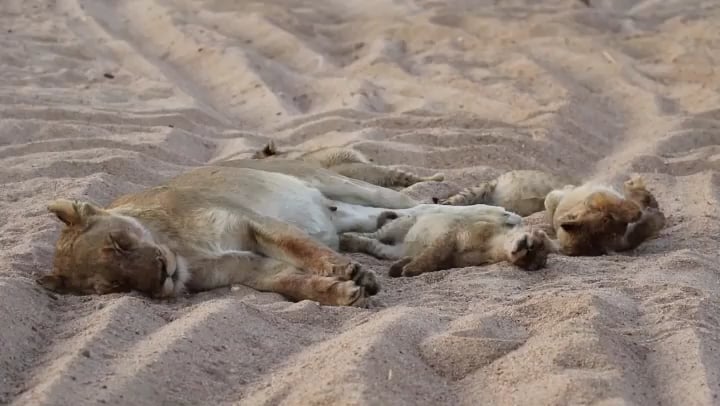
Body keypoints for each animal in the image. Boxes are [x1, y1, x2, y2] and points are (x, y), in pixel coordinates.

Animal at [38, 159, 520, 307]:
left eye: (120, 243)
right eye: (112, 287)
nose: (160, 276)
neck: (183, 252)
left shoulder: (254, 224)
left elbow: (301, 247)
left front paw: (348, 272)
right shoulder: (249, 269)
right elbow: (293, 282)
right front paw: (343, 292)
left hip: (334, 182)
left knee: (418, 202)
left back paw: (500, 212)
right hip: (354, 214)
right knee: (392, 218)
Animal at [339, 209, 554, 278]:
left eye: (532, 264)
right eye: (533, 246)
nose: (526, 252)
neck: (495, 247)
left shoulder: (453, 259)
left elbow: (433, 260)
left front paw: (402, 269)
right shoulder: (453, 234)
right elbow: (434, 252)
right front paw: (409, 270)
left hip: (391, 250)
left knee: (373, 244)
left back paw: (350, 242)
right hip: (400, 224)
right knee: (373, 233)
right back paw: (344, 237)